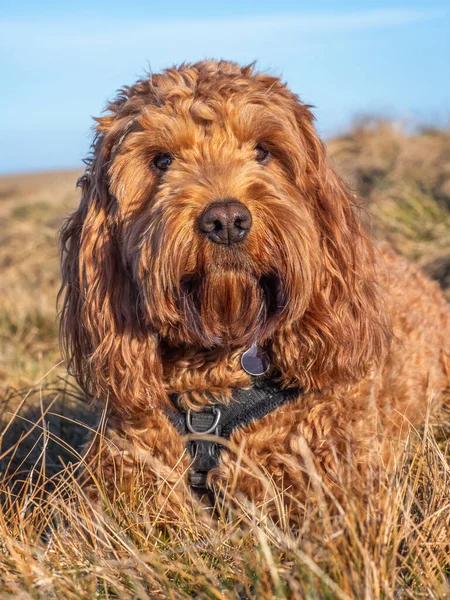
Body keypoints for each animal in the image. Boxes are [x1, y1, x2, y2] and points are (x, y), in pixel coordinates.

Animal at [59, 62, 450, 516]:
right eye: (162, 160)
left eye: (263, 151)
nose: (226, 220)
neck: (213, 381)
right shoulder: (115, 488)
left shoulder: (337, 485)